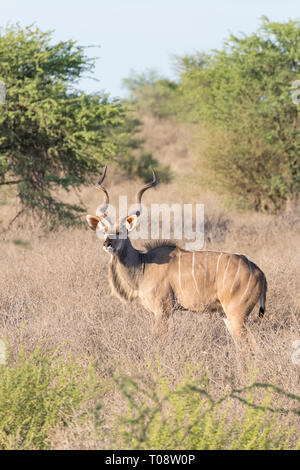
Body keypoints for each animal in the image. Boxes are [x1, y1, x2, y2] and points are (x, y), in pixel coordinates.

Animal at [86, 167, 268, 344]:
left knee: (252, 342)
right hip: (225, 314)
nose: (107, 244)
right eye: (104, 231)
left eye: (121, 231)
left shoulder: (162, 311)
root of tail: (260, 273)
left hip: (237, 315)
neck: (143, 264)